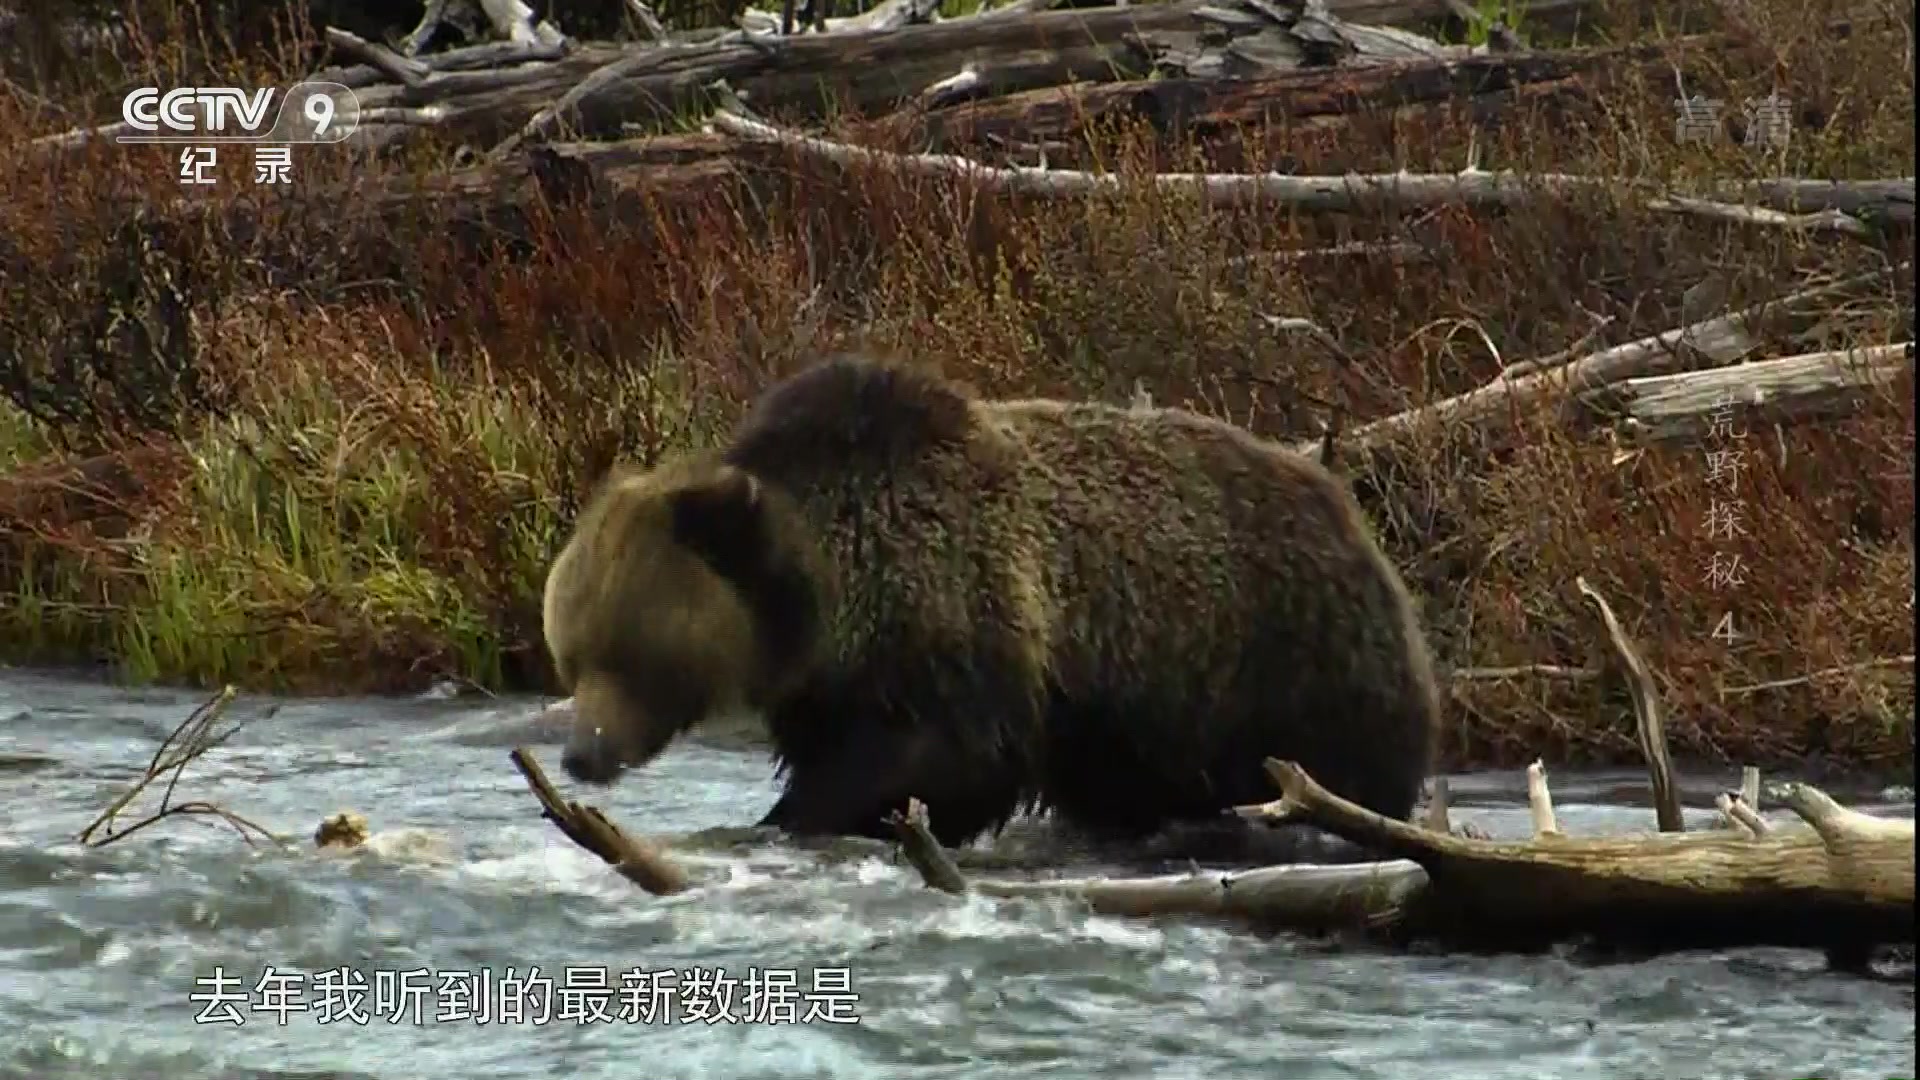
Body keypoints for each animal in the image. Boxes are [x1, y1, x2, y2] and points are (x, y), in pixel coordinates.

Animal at [541, 353, 1443, 849]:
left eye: (633, 653)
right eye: (570, 653)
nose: (582, 753)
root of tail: (1345, 500)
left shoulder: (960, 621)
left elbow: (952, 760)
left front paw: (793, 816)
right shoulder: (826, 684)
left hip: (1285, 656)